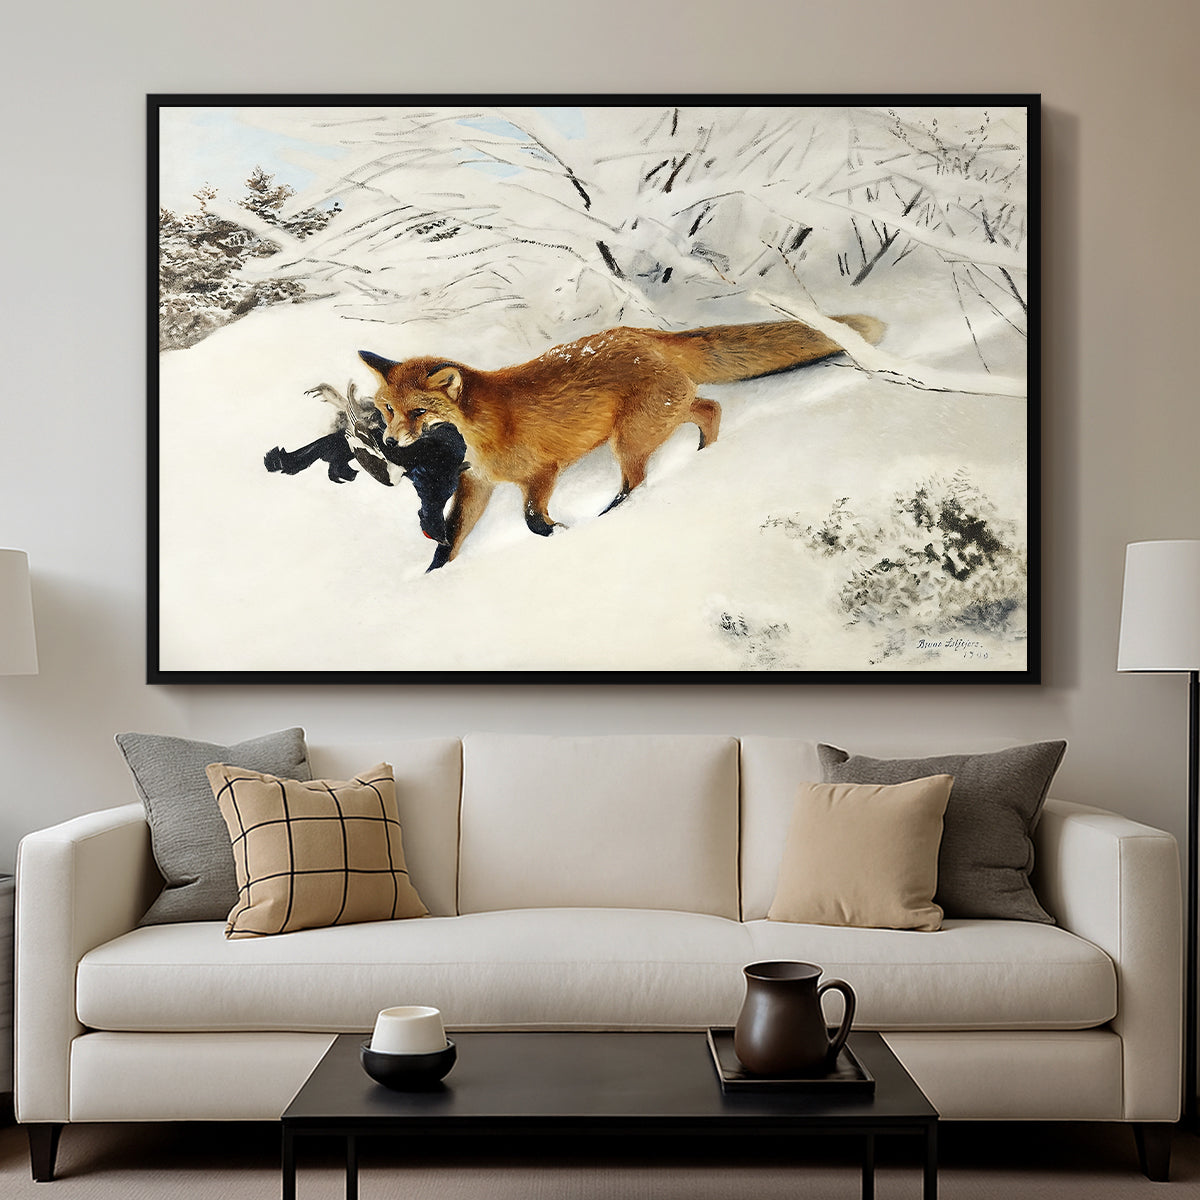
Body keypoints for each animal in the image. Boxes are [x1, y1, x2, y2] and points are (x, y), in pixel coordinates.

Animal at [360, 314, 884, 569]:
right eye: (387, 408)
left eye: (418, 412)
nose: (390, 440)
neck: (483, 429)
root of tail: (646, 334)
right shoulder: (477, 484)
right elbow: (451, 539)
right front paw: (433, 577)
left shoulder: (542, 472)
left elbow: (532, 520)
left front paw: (562, 534)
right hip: (658, 419)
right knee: (710, 408)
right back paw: (704, 457)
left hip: (629, 439)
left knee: (639, 480)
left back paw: (615, 514)